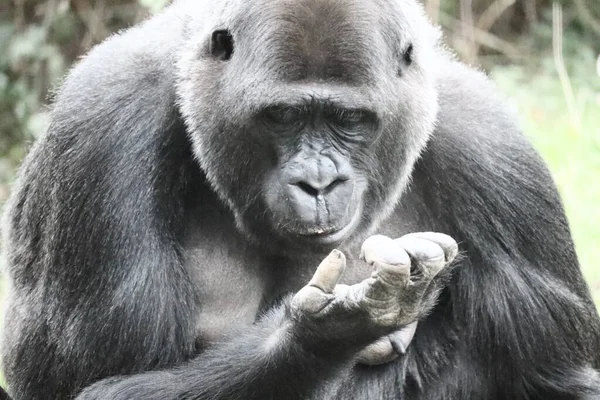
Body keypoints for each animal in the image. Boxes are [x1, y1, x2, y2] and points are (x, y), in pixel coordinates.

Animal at [1, 0, 600, 398]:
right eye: (284, 116)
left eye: (349, 118)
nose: (318, 184)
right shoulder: (103, 121)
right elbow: (102, 383)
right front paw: (329, 331)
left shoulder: (495, 154)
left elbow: (557, 382)